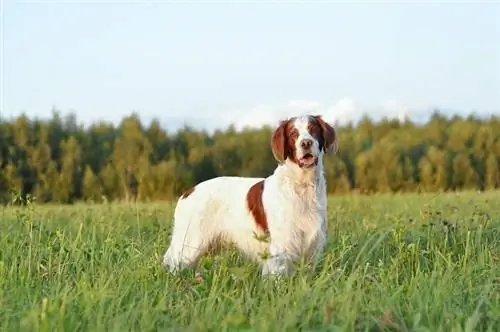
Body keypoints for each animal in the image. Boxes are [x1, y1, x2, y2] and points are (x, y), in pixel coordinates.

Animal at [162, 115, 338, 276]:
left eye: (313, 130)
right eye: (293, 133)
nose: (306, 143)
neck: (302, 185)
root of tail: (188, 192)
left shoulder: (311, 247)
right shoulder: (281, 247)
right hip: (190, 244)